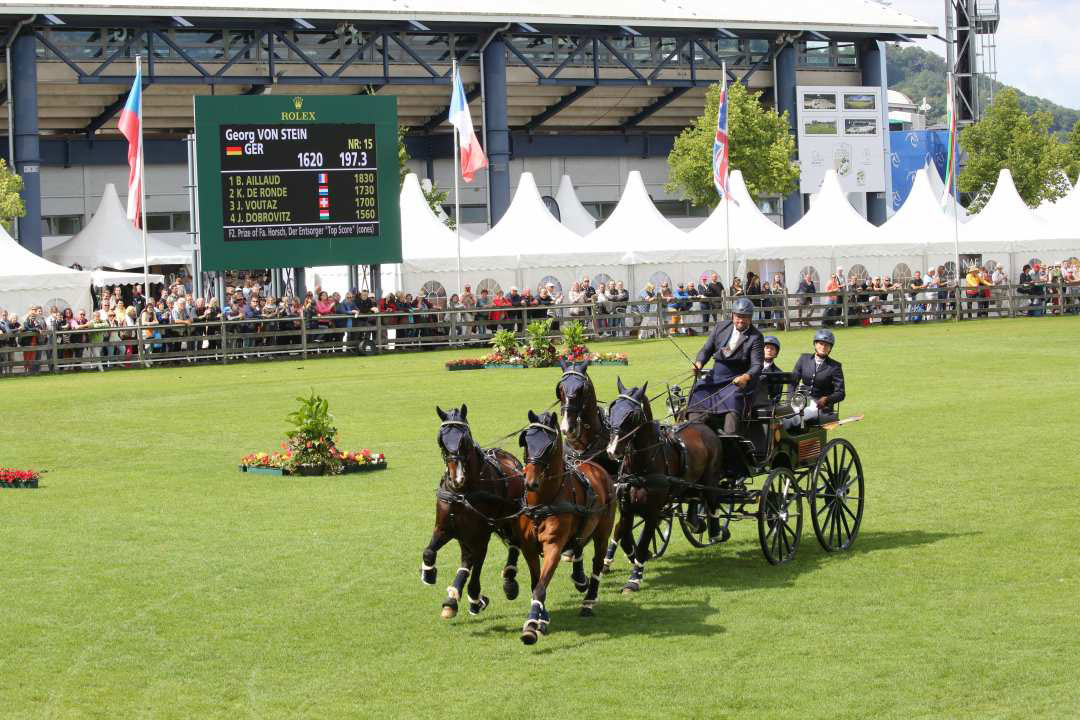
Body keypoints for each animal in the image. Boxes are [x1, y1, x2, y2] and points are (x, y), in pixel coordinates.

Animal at [419, 405, 533, 621]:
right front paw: (429, 574)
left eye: (464, 439)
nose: (457, 478)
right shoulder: (445, 528)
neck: (462, 493)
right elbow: (429, 552)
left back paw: (509, 580)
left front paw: (474, 597)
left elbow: (477, 565)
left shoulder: (480, 535)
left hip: (509, 519)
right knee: (467, 558)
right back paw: (454, 598)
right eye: (441, 440)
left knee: (513, 544)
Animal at [516, 410, 613, 647]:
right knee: (578, 544)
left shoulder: (553, 546)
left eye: (549, 445)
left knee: (597, 561)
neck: (542, 502)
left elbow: (540, 587)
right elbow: (536, 584)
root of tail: (597, 468)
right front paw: (541, 620)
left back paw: (589, 600)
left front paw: (531, 627)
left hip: (603, 531)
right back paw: (579, 578)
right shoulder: (528, 548)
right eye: (526, 441)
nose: (530, 482)